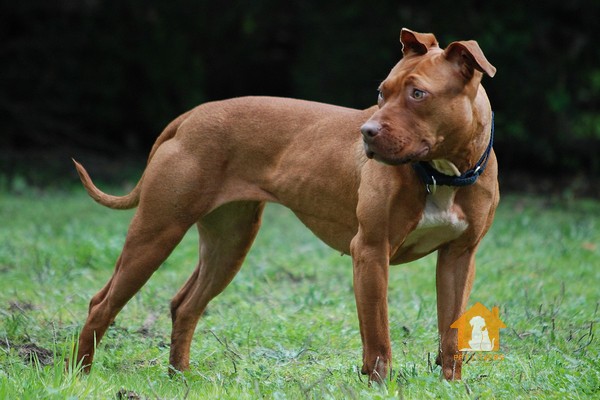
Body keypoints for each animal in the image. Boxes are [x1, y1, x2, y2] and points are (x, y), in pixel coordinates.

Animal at [71, 28, 496, 382]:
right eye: (382, 92)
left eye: (418, 94)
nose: (367, 132)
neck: (444, 173)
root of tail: (190, 117)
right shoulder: (372, 252)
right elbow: (378, 340)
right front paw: (380, 387)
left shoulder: (459, 258)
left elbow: (451, 334)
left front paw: (451, 386)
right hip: (157, 232)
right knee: (101, 304)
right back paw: (81, 375)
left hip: (229, 244)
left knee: (185, 305)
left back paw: (181, 377)